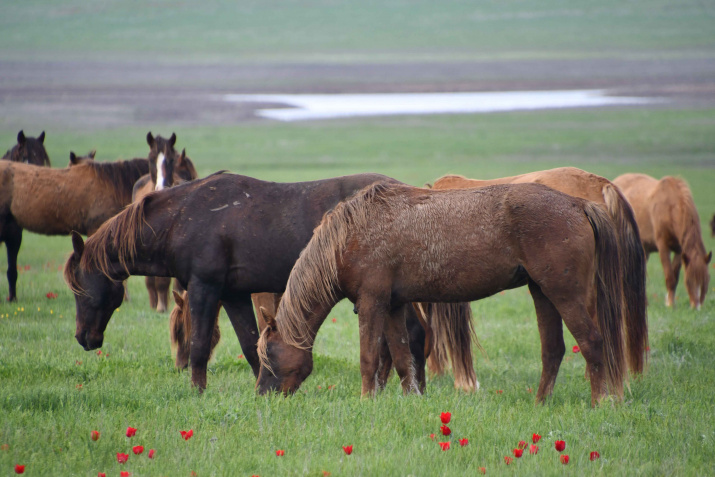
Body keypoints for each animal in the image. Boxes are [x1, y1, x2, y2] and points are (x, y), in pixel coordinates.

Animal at [65, 171, 448, 390]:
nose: (84, 338)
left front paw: (196, 393)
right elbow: (251, 347)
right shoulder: (234, 295)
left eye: (81, 290)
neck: (184, 218)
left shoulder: (205, 288)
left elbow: (199, 346)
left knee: (412, 335)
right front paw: (262, 385)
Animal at [256, 182, 628, 406]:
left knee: (592, 342)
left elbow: (369, 358)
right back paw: (540, 404)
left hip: (564, 294)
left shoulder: (372, 303)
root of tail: (578, 204)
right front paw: (411, 399)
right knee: (553, 350)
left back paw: (599, 402)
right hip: (543, 294)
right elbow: (403, 358)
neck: (350, 236)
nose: (261, 395)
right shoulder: (393, 305)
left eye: (269, 356)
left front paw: (366, 401)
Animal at [612, 173, 712, 310]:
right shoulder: (663, 246)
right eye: (688, 281)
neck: (670, 207)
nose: (696, 307)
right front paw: (670, 304)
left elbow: (675, 276)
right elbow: (669, 277)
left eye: (706, 281)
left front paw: (671, 302)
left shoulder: (679, 250)